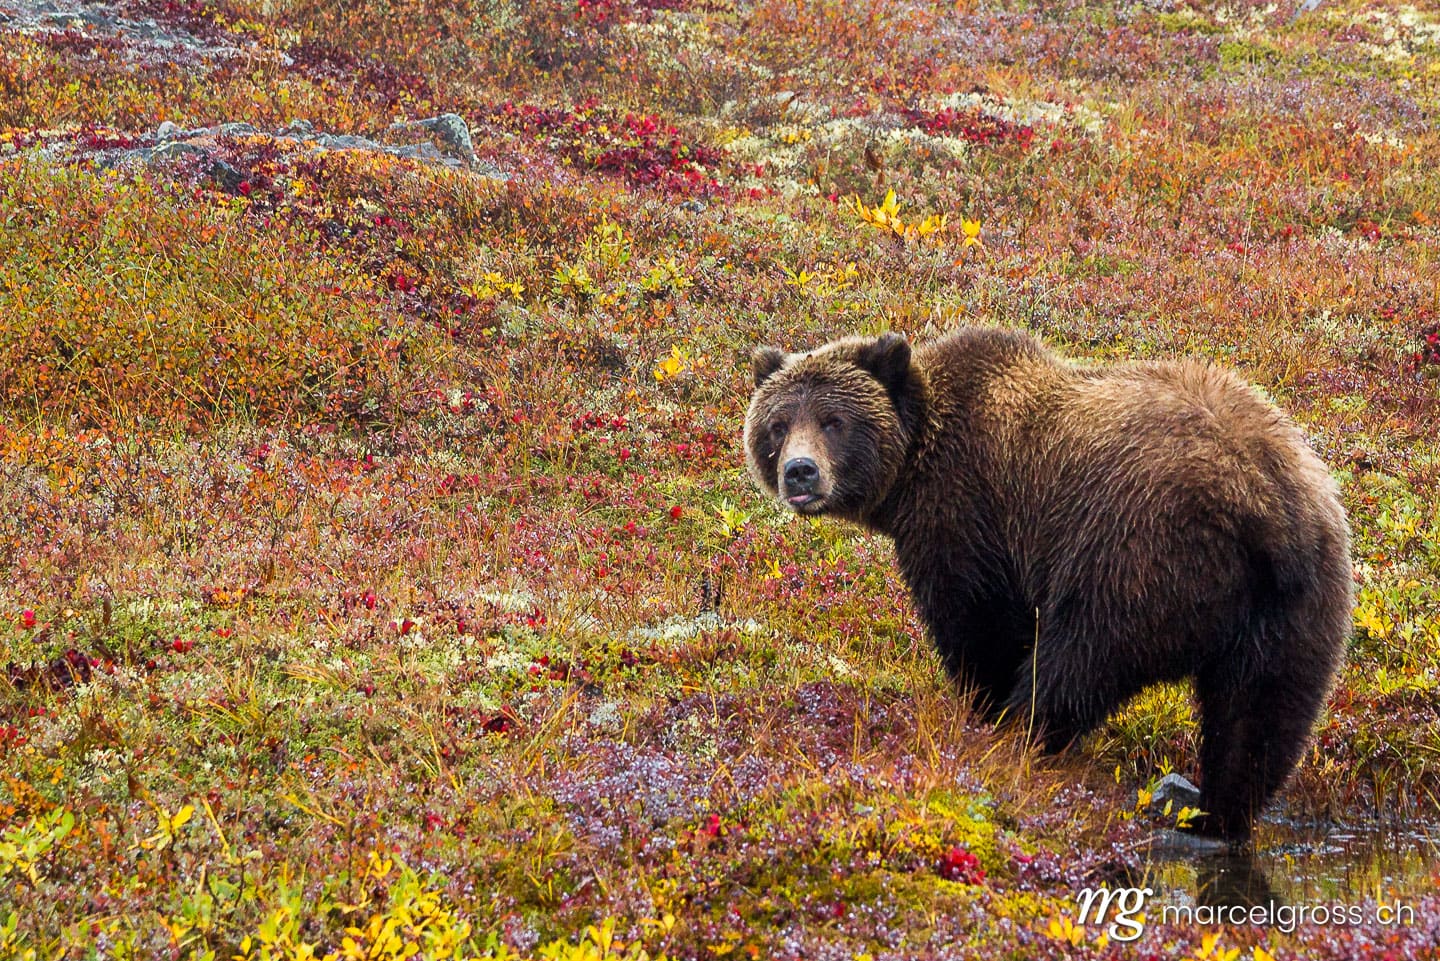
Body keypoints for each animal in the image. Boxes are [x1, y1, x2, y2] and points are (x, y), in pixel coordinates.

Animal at [744, 327, 1352, 840]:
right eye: (778, 424)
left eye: (833, 421)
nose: (799, 472)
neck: (913, 467)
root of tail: (1264, 503)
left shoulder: (969, 512)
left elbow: (979, 625)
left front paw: (981, 706)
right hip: (1299, 604)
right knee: (1260, 718)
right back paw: (1218, 819)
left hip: (1136, 553)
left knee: (1080, 660)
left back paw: (1018, 736)